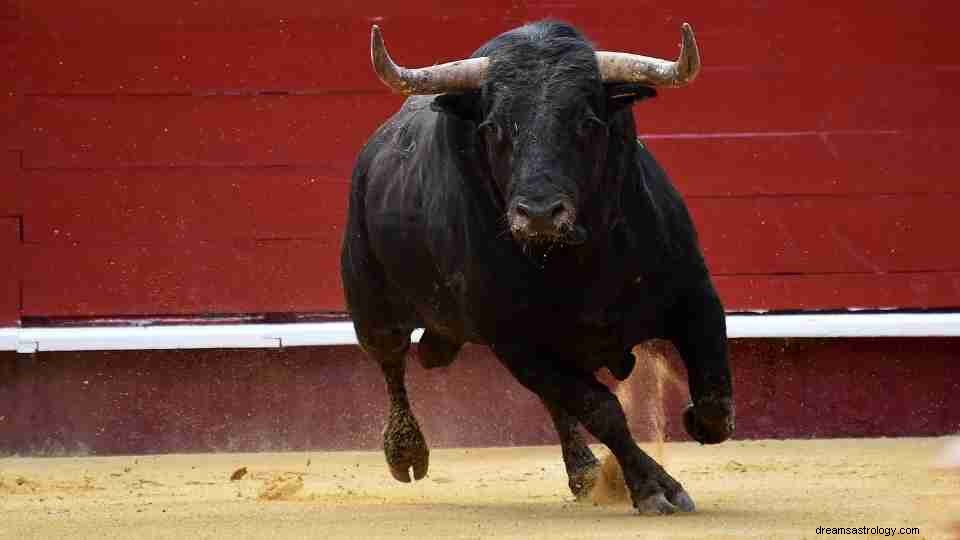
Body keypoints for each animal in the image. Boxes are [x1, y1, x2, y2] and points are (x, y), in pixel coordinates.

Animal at [340, 21, 736, 516]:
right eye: (492, 127)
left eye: (588, 123)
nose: (541, 214)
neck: (578, 259)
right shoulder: (516, 342)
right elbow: (602, 409)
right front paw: (653, 486)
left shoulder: (695, 294)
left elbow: (714, 396)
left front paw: (693, 424)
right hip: (372, 305)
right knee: (392, 362)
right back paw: (406, 453)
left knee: (555, 402)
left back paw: (584, 472)